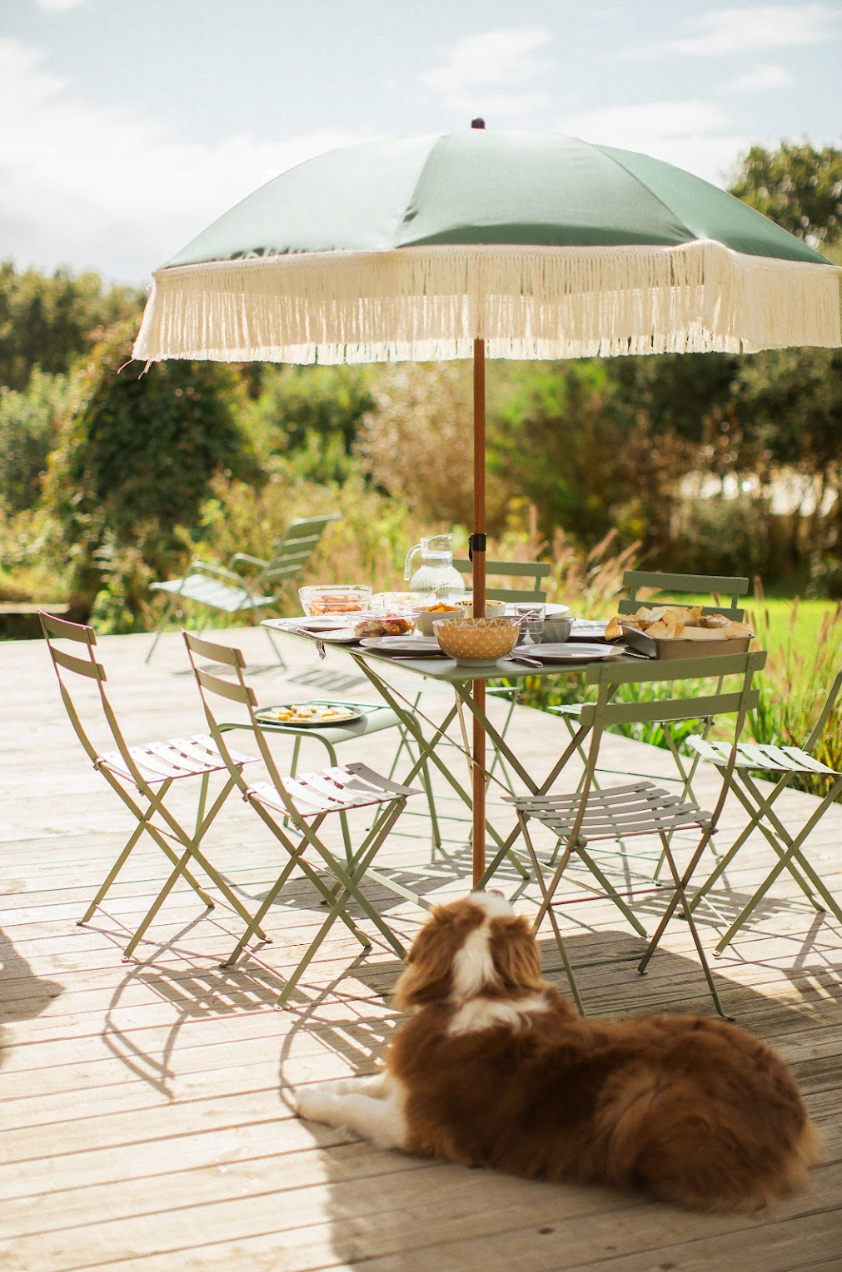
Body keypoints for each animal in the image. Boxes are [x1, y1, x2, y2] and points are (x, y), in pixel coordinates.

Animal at [293, 895, 819, 1210]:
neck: (485, 989)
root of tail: (795, 1118)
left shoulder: (413, 1125)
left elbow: (354, 1106)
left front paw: (307, 1102)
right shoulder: (403, 1084)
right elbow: (361, 1081)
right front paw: (314, 1086)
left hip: (640, 1089)